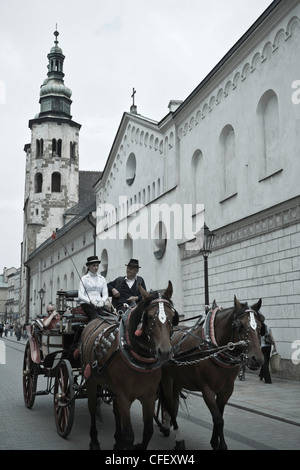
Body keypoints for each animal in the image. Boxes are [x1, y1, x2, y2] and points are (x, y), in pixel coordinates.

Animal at [79, 280, 178, 450]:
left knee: (115, 410)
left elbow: (148, 431)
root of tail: (96, 319)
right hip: (91, 381)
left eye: (172, 316)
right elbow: (129, 435)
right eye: (149, 316)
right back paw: (94, 441)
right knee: (92, 408)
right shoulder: (124, 397)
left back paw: (117, 439)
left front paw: (126, 443)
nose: (164, 351)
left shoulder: (149, 397)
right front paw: (124, 442)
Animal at [158, 296, 264, 450]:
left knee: (172, 402)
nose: (258, 359)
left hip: (178, 380)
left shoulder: (226, 390)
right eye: (241, 325)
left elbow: (219, 415)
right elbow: (218, 419)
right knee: (170, 405)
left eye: (260, 326)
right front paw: (222, 445)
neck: (214, 348)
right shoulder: (207, 389)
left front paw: (215, 442)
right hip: (166, 379)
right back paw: (178, 438)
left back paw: (167, 425)